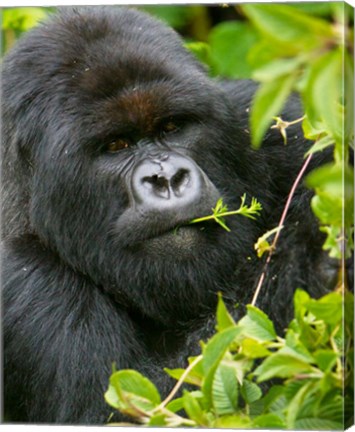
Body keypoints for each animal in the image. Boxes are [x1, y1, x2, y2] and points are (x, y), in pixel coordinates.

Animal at [3, 6, 342, 426]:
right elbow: (141, 406)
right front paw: (309, 255)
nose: (166, 179)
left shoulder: (272, 126)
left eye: (172, 127)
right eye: (116, 145)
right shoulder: (25, 281)